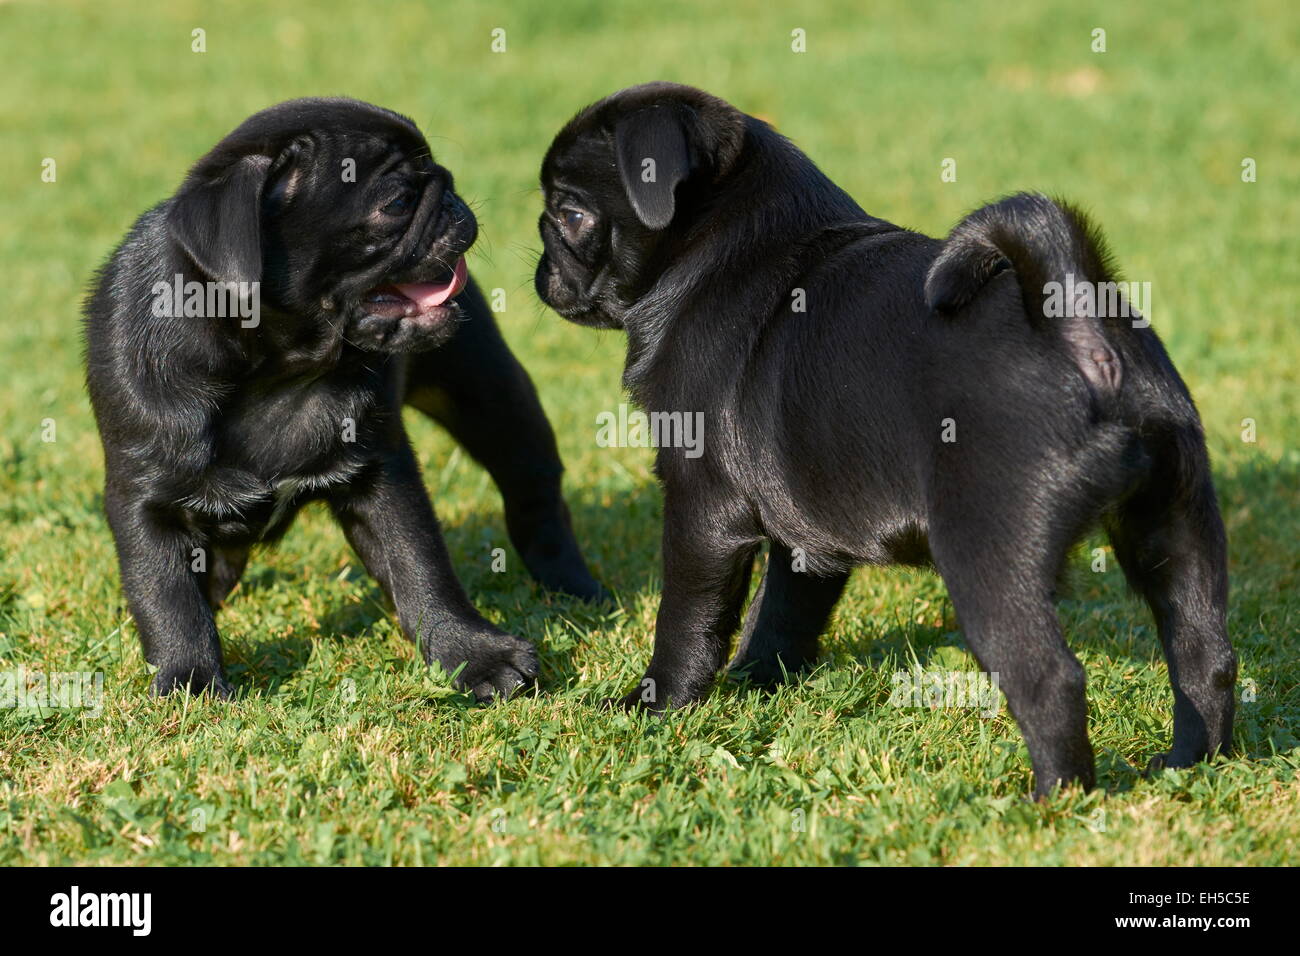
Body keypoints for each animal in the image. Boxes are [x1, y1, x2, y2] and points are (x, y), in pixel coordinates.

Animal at [86, 97, 603, 702]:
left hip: (492, 398)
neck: (277, 373)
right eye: (397, 203)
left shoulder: (379, 474)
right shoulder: (146, 503)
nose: (450, 190)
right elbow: (167, 598)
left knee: (532, 491)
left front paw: (473, 655)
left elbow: (420, 566)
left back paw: (573, 586)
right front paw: (190, 683)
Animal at [533, 83, 1232, 801]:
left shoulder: (703, 508)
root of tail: (1080, 333)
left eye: (568, 212)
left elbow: (689, 618)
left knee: (1049, 679)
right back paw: (1191, 764)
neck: (719, 250)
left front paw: (655, 703)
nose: (538, 255)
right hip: (1174, 519)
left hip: (989, 555)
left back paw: (1052, 801)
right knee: (1203, 656)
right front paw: (757, 684)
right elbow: (782, 613)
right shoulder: (802, 527)